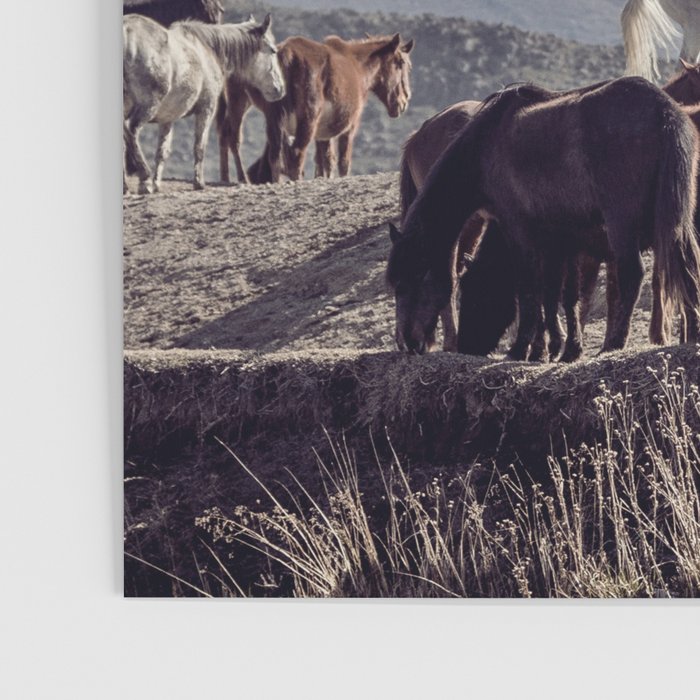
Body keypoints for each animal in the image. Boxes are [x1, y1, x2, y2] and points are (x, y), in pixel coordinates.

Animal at [123, 14, 285, 194]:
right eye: (273, 51)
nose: (279, 89)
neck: (206, 50)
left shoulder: (167, 118)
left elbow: (162, 151)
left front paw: (157, 183)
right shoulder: (206, 109)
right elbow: (199, 146)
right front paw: (199, 182)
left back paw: (126, 186)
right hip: (148, 107)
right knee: (130, 130)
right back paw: (144, 180)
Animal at [217, 33, 414, 184]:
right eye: (401, 63)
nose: (404, 101)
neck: (358, 66)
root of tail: (286, 55)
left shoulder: (322, 133)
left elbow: (324, 160)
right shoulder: (350, 127)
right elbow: (342, 161)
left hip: (263, 114)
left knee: (269, 152)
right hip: (306, 119)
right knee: (295, 153)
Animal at [387, 78, 700, 360]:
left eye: (411, 281)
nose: (408, 343)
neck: (486, 144)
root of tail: (666, 112)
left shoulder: (519, 231)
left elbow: (529, 289)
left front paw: (522, 349)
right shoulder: (556, 244)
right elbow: (553, 294)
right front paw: (552, 348)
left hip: (621, 226)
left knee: (632, 274)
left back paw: (615, 343)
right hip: (677, 221)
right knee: (688, 267)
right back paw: (692, 334)